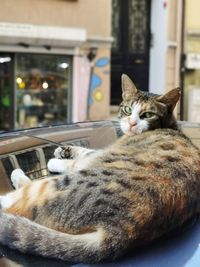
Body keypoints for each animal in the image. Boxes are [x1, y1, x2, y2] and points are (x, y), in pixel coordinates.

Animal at [0, 74, 199, 264]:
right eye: (128, 110)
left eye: (148, 114)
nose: (131, 123)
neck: (170, 127)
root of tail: (119, 231)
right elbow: (85, 150)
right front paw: (63, 150)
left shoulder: (102, 155)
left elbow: (84, 156)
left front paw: (55, 161)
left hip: (60, 183)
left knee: (18, 200)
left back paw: (17, 175)